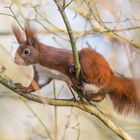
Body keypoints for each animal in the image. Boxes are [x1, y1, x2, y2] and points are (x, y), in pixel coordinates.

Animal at [12, 24, 140, 115]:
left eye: (26, 51)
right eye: (17, 50)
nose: (15, 61)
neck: (39, 61)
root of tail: (110, 78)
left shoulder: (57, 59)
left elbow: (68, 66)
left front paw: (73, 75)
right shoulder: (43, 74)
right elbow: (36, 84)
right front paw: (24, 88)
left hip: (91, 63)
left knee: (90, 77)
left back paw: (80, 79)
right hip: (100, 88)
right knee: (101, 96)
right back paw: (89, 95)